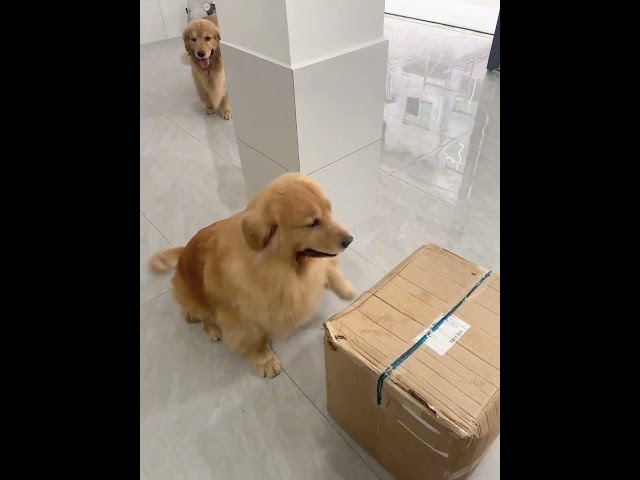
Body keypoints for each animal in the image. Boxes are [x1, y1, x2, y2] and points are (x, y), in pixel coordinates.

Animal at [150, 173, 356, 378]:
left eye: (329, 210)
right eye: (312, 223)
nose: (349, 240)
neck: (287, 266)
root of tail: (182, 252)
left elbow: (329, 269)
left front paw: (346, 289)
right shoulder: (242, 316)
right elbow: (255, 340)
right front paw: (265, 360)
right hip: (193, 300)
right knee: (198, 316)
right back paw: (212, 329)